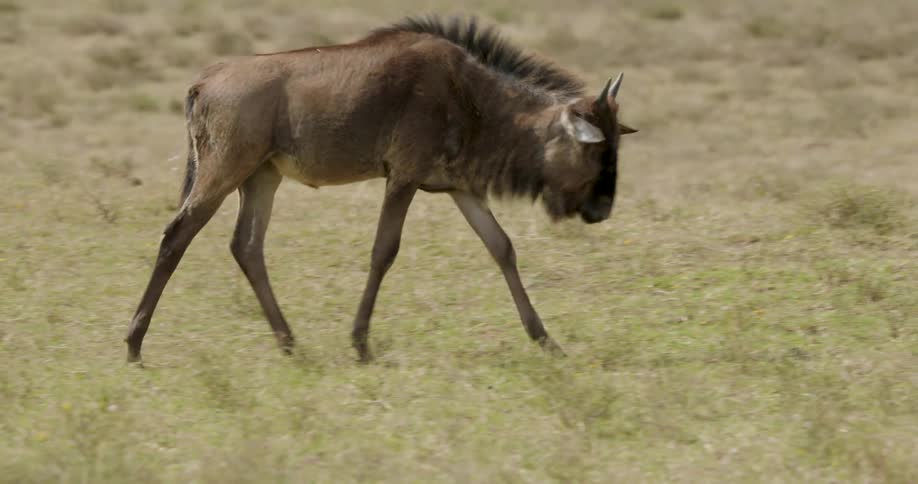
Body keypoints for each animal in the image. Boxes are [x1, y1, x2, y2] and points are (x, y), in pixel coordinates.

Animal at [125, 16, 638, 363]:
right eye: (597, 152)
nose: (602, 211)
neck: (474, 98)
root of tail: (202, 82)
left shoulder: (461, 187)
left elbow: (502, 248)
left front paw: (545, 339)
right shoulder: (403, 177)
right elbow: (383, 251)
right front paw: (361, 343)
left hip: (262, 176)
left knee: (247, 246)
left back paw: (290, 343)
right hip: (223, 170)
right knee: (177, 235)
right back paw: (134, 344)